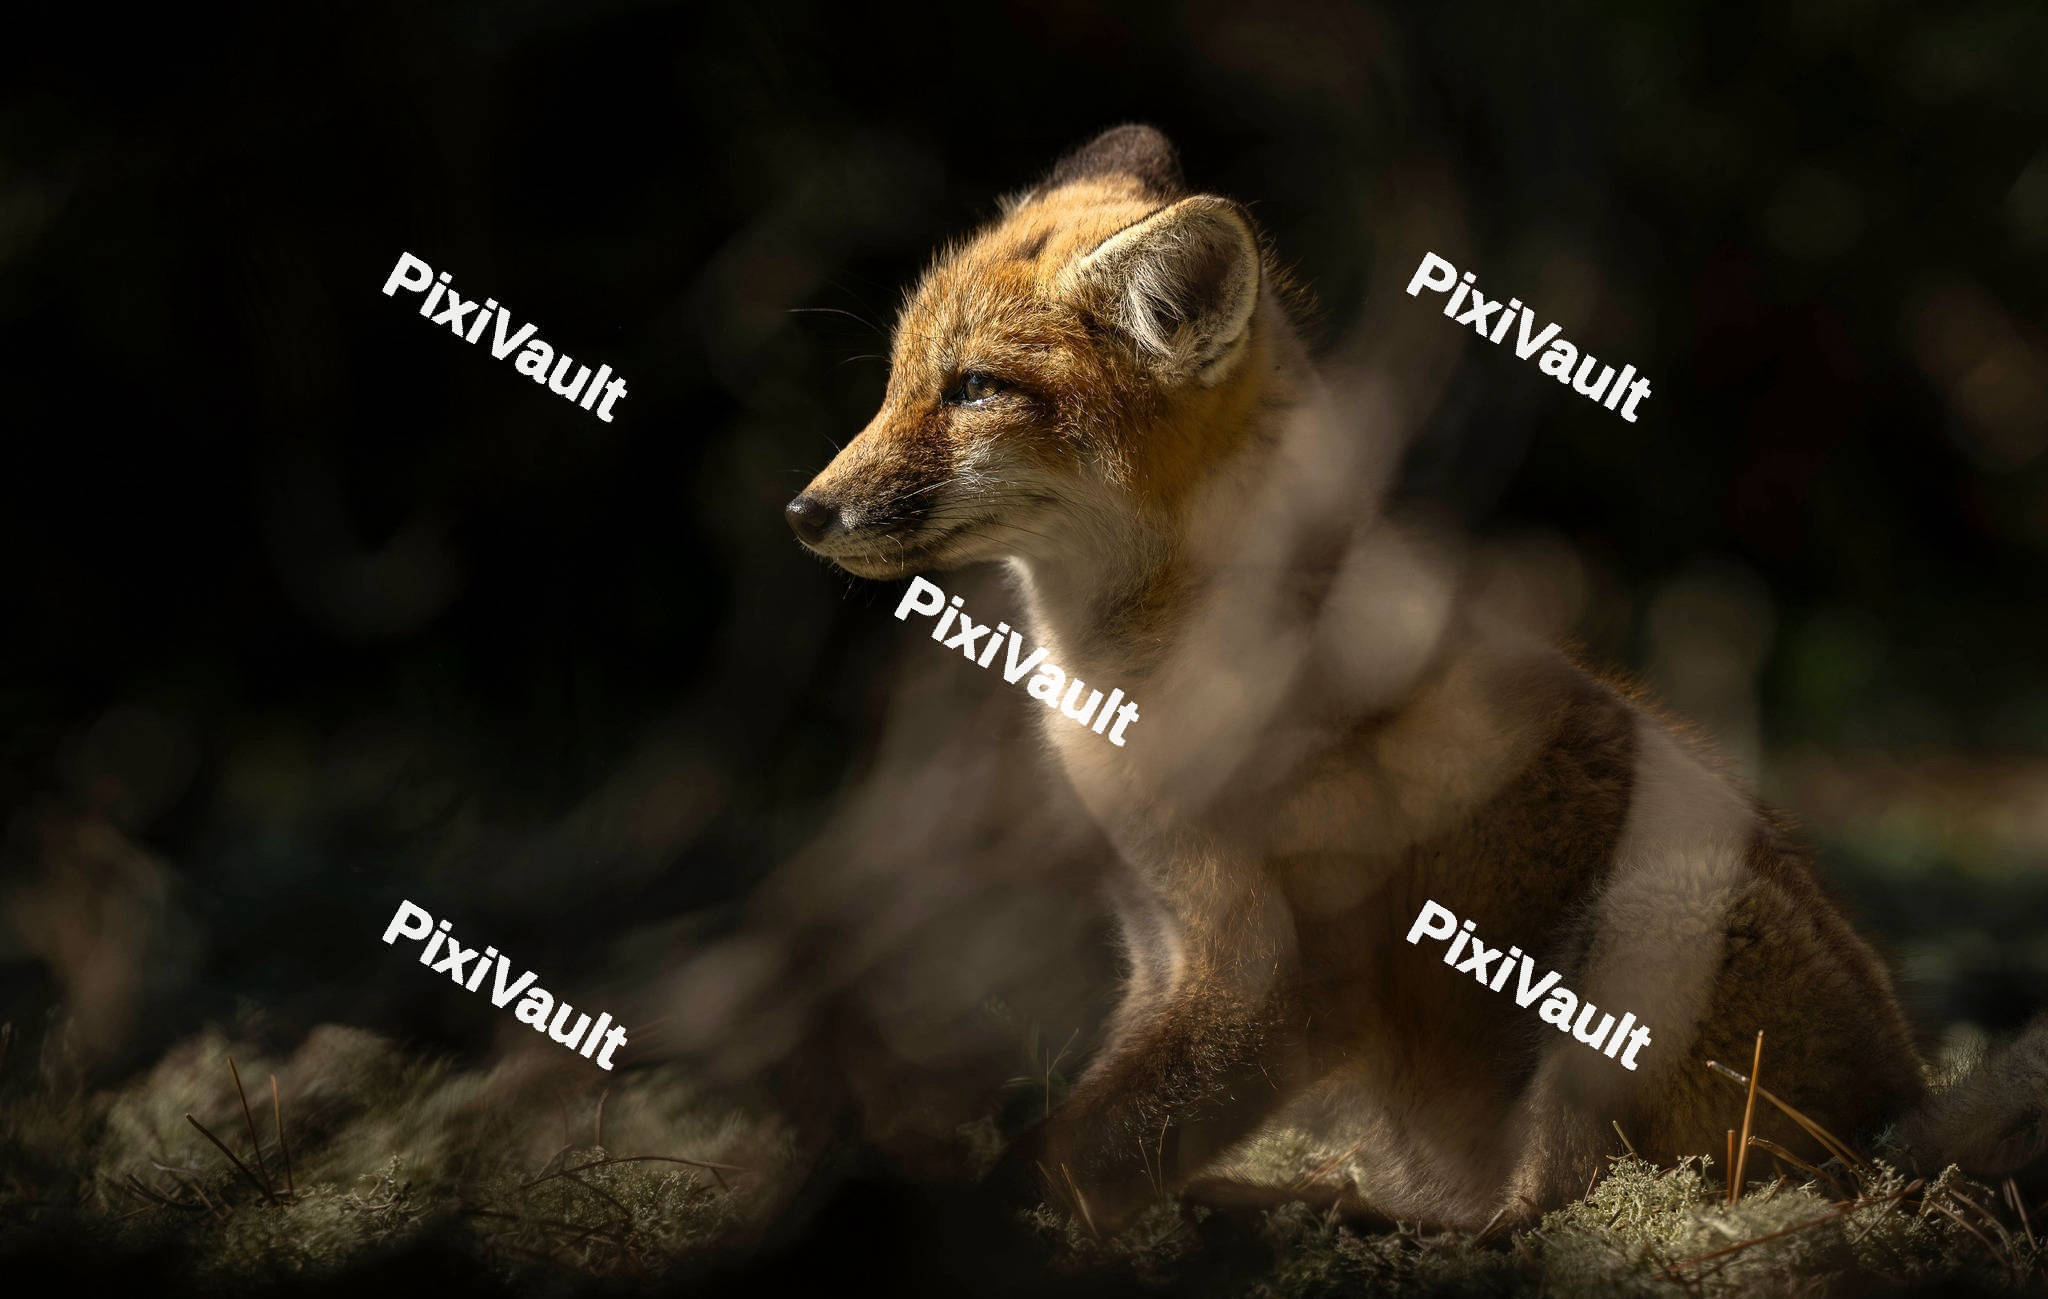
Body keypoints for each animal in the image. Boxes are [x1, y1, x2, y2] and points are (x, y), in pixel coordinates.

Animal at [785, 124, 2048, 1229]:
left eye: (972, 389)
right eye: (895, 380)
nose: (803, 511)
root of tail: (1897, 1117)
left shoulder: (1270, 987)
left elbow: (1072, 1153)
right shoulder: (1160, 946)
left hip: (1649, 923)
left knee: (1548, 1213)